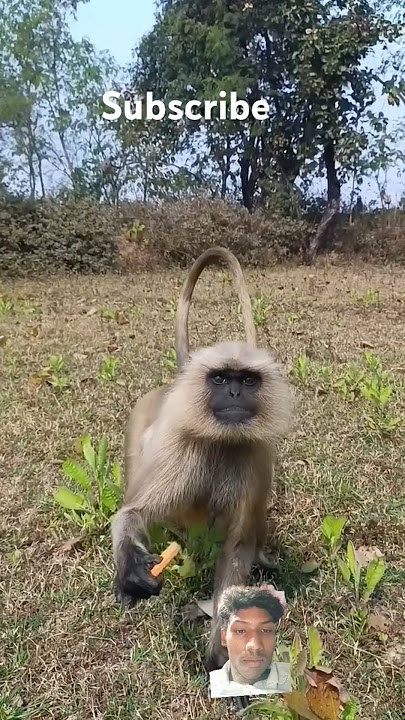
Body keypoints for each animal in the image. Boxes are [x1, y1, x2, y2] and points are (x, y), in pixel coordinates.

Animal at [111, 246, 292, 670]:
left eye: (247, 380)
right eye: (221, 379)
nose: (234, 394)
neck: (221, 440)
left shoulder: (253, 454)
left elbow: (238, 545)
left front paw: (222, 647)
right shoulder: (184, 448)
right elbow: (131, 512)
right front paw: (131, 569)